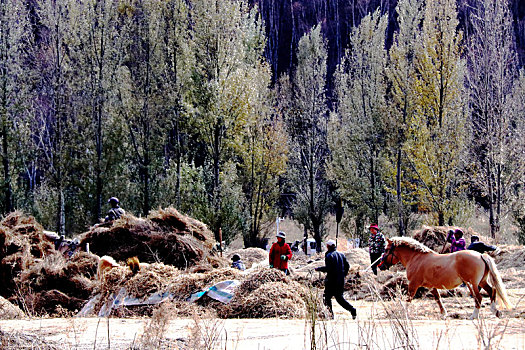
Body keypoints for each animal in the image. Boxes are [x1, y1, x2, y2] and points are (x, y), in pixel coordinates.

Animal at [378, 237, 510, 318]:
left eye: (386, 249)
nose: (381, 265)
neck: (416, 258)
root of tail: (481, 255)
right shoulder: (431, 287)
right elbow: (438, 299)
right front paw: (443, 313)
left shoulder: (413, 284)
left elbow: (409, 299)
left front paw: (403, 312)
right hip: (482, 282)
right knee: (492, 291)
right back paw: (495, 311)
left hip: (472, 283)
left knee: (479, 297)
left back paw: (474, 316)